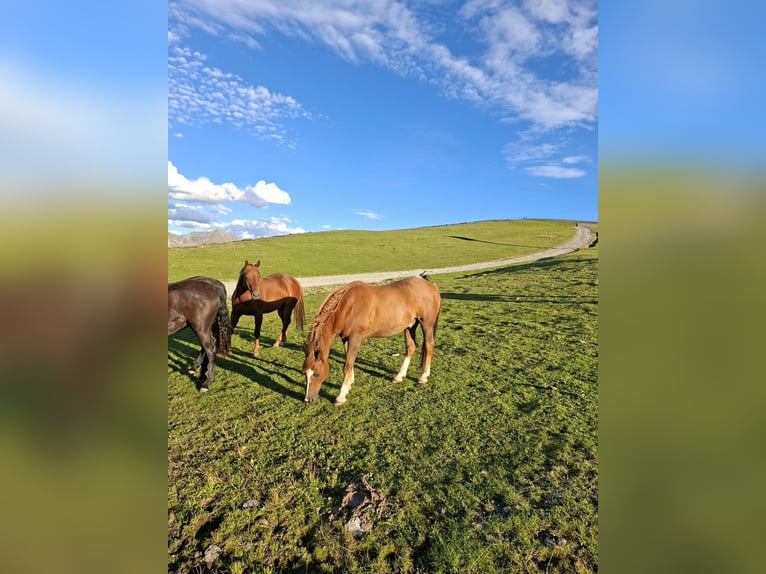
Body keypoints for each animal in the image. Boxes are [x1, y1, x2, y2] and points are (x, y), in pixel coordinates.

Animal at [302, 276, 441, 405]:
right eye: (304, 373)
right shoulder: (346, 339)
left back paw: (423, 376)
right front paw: (349, 384)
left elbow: (347, 364)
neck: (346, 307)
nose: (308, 400)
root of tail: (431, 285)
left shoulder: (355, 338)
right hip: (410, 326)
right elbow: (349, 360)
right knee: (411, 347)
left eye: (317, 374)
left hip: (426, 324)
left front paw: (341, 396)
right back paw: (399, 376)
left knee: (429, 345)